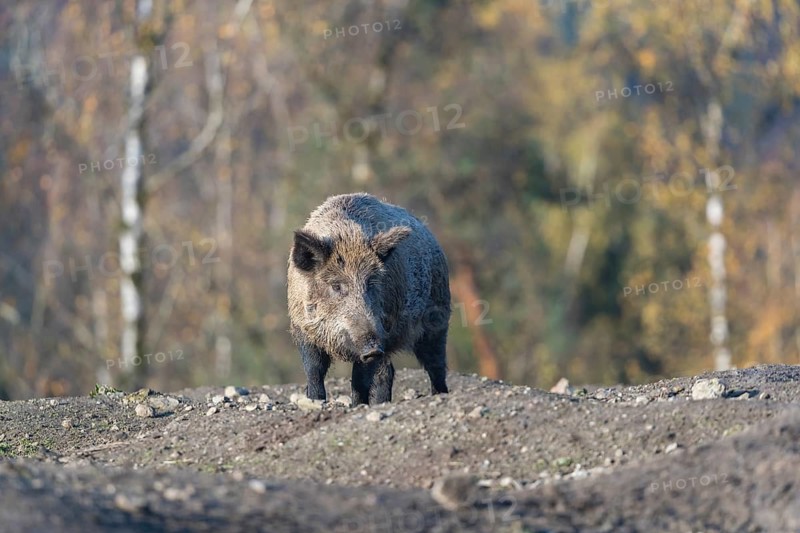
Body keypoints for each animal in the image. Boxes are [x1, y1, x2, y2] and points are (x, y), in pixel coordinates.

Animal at [287, 193, 450, 405]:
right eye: (336, 286)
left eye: (371, 283)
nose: (372, 348)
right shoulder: (302, 328)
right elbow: (314, 370)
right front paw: (315, 401)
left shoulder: (381, 334)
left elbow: (360, 379)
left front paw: (358, 406)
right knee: (388, 372)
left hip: (437, 316)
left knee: (435, 363)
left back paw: (440, 394)